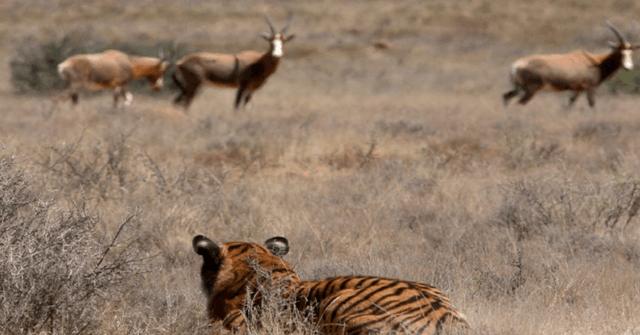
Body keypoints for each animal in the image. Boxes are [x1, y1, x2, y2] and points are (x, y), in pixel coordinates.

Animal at [502, 21, 636, 108]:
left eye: (630, 53)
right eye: (620, 52)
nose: (628, 67)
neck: (596, 62)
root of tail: (515, 66)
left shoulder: (577, 89)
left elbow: (570, 104)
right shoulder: (589, 88)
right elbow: (592, 104)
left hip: (519, 88)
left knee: (506, 96)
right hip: (531, 90)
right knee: (518, 103)